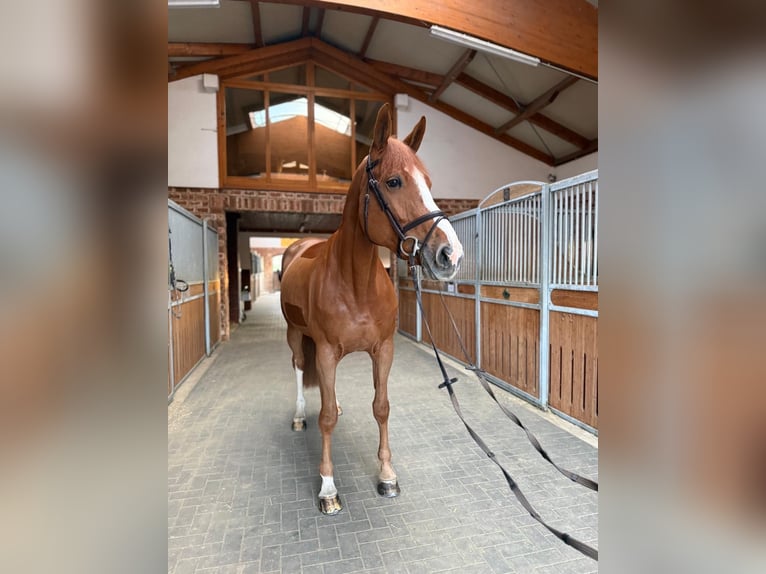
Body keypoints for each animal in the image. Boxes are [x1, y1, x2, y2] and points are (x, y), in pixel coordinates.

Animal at [279, 103, 464, 515]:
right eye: (394, 182)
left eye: (429, 182)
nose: (451, 255)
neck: (356, 283)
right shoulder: (325, 351)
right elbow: (325, 418)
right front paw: (328, 488)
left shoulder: (383, 349)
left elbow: (381, 407)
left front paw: (387, 476)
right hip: (296, 335)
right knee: (299, 369)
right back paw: (298, 416)